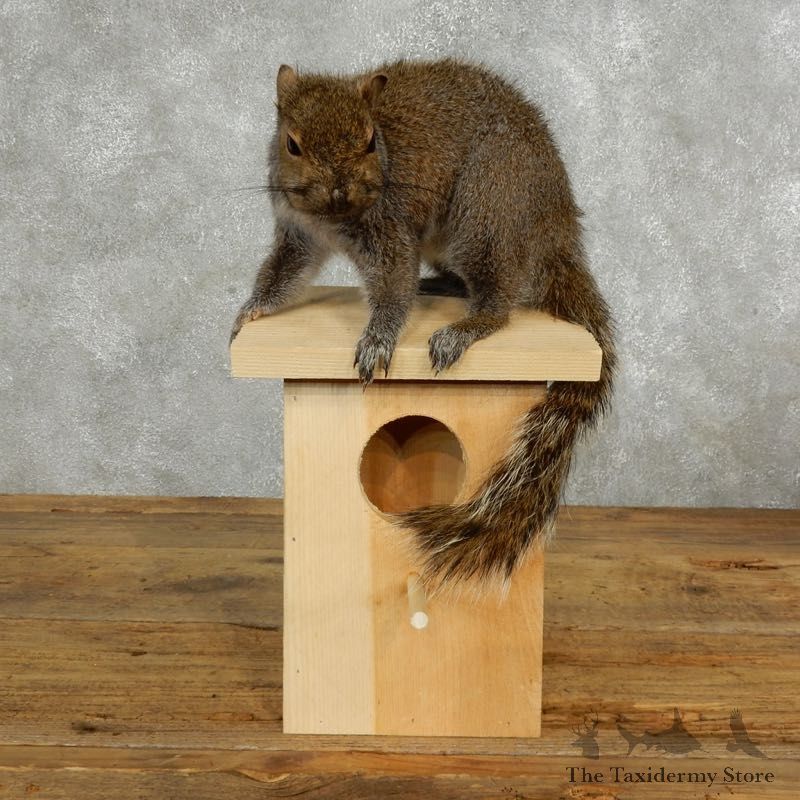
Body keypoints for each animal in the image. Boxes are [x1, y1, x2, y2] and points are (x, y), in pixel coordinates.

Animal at [231, 58, 617, 590]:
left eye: (370, 139)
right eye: (292, 143)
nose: (340, 190)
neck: (334, 218)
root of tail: (555, 228)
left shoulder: (390, 230)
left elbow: (395, 286)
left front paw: (377, 340)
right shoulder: (299, 234)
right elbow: (283, 273)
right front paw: (251, 309)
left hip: (487, 207)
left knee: (499, 297)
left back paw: (466, 327)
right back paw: (442, 286)